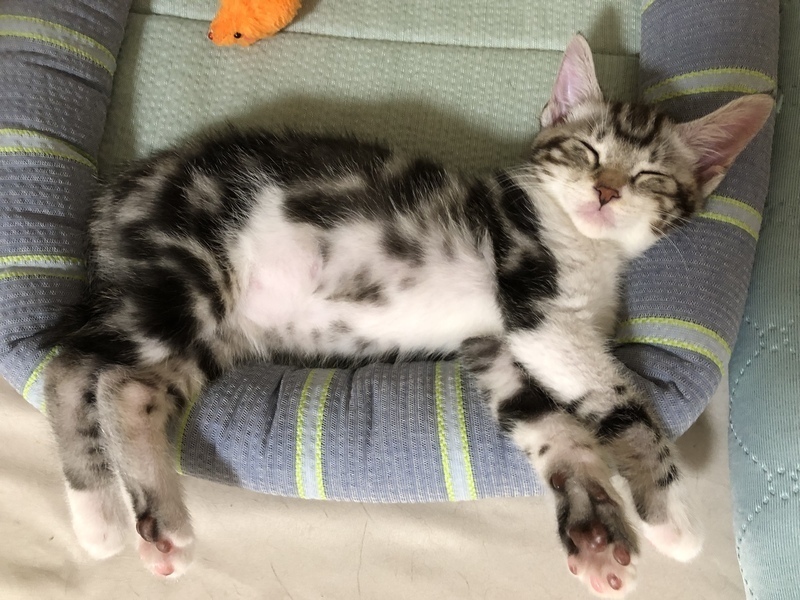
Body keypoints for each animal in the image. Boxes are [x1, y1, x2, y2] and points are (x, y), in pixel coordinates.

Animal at [41, 34, 772, 597]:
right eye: (586, 151)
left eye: (650, 176)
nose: (605, 191)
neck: (585, 246)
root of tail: (119, 191)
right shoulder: (539, 312)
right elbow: (625, 401)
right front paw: (671, 515)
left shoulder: (499, 346)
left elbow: (555, 429)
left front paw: (594, 534)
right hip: (191, 276)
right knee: (79, 368)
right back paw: (112, 517)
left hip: (217, 333)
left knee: (125, 384)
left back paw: (140, 523)